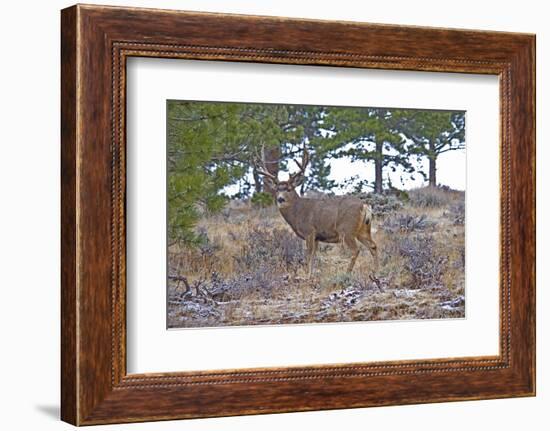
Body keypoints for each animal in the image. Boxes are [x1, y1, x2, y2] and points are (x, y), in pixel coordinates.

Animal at [258, 148, 380, 276]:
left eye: (289, 189)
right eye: (277, 190)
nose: (280, 199)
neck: (297, 213)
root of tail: (365, 206)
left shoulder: (309, 231)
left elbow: (309, 255)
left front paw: (307, 275)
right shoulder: (317, 237)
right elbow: (314, 256)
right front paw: (311, 274)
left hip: (347, 229)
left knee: (356, 250)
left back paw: (347, 273)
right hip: (363, 230)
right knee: (373, 246)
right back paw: (376, 272)